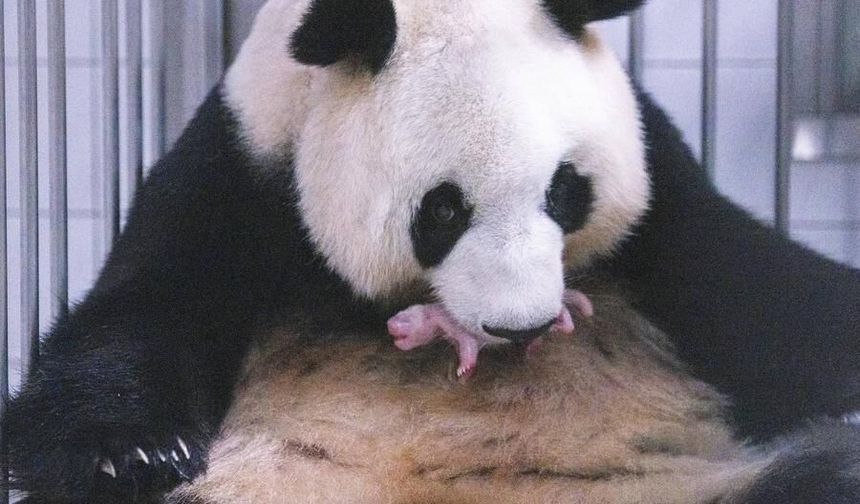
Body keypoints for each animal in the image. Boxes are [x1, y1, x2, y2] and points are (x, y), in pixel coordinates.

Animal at [5, 0, 860, 503]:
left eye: (565, 191)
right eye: (442, 211)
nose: (522, 326)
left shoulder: (663, 196)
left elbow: (762, 294)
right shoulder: (242, 168)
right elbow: (143, 306)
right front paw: (130, 452)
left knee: (823, 475)